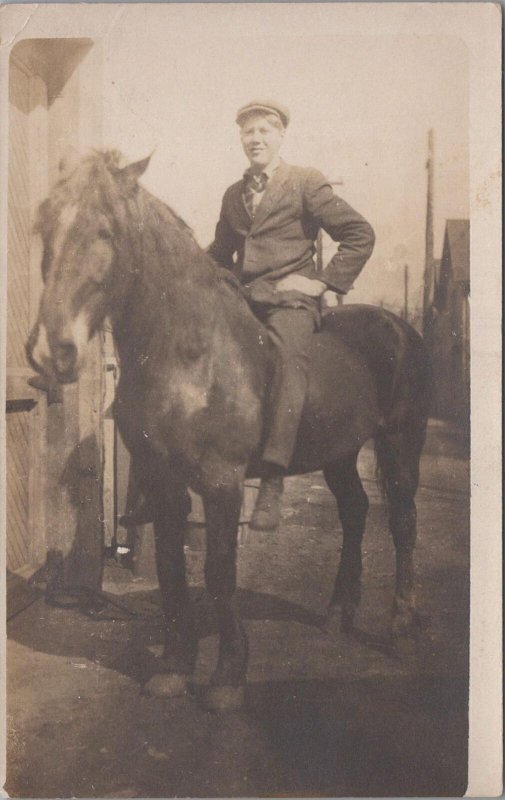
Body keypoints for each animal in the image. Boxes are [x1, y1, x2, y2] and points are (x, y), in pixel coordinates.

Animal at [26, 152, 430, 712]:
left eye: (105, 230)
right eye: (44, 227)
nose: (51, 351)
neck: (189, 355)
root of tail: (398, 328)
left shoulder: (222, 482)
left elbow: (219, 573)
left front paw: (227, 677)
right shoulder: (162, 479)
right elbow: (171, 569)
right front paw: (174, 667)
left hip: (399, 444)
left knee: (403, 524)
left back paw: (402, 630)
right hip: (339, 453)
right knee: (355, 511)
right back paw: (337, 614)